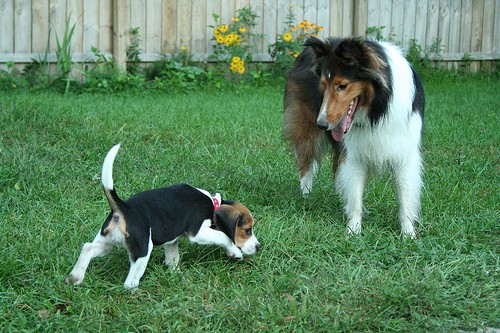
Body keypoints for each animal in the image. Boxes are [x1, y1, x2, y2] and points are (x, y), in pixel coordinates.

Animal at [67, 144, 262, 290]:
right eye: (247, 230)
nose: (258, 247)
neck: (213, 203)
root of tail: (124, 207)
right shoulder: (198, 233)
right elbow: (223, 237)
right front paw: (235, 252)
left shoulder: (172, 241)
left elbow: (173, 258)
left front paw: (176, 275)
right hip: (142, 250)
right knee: (129, 282)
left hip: (107, 242)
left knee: (87, 248)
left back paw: (75, 277)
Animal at [286, 36, 426, 237]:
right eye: (323, 86)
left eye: (342, 86)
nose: (321, 124)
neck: (378, 111)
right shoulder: (354, 155)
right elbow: (355, 194)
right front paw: (353, 230)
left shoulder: (404, 154)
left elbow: (405, 195)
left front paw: (408, 234)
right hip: (306, 131)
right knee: (306, 164)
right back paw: (306, 196)